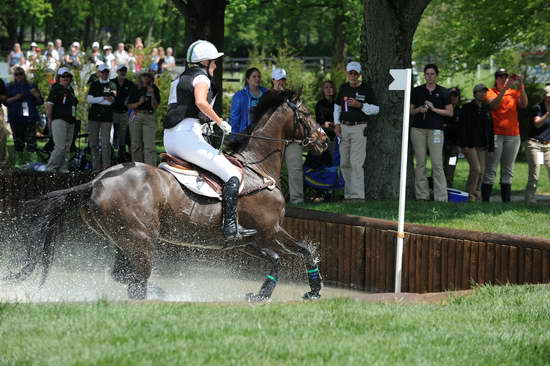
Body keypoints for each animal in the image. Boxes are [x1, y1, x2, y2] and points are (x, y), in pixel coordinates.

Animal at [3, 90, 328, 302]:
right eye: (307, 115)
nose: (324, 139)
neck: (257, 168)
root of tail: (97, 181)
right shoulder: (260, 235)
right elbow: (277, 260)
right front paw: (261, 295)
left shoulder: (269, 232)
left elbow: (304, 250)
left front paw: (314, 289)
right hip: (141, 239)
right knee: (136, 283)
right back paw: (156, 296)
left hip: (123, 238)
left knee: (126, 276)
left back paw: (159, 292)